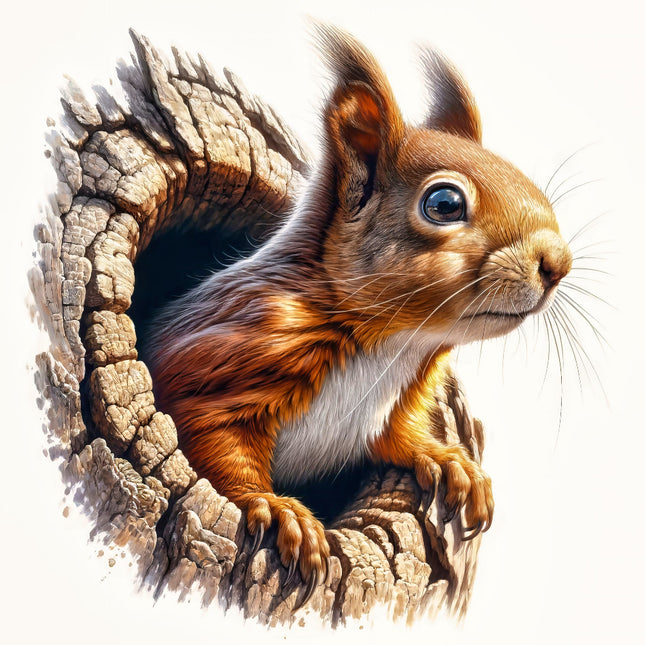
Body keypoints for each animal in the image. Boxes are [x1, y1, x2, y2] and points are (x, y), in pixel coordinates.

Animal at [147, 25, 572, 599]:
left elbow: (395, 438)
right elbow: (212, 440)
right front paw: (277, 508)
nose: (558, 262)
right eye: (444, 204)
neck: (394, 344)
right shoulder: (228, 354)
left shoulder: (389, 407)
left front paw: (447, 461)